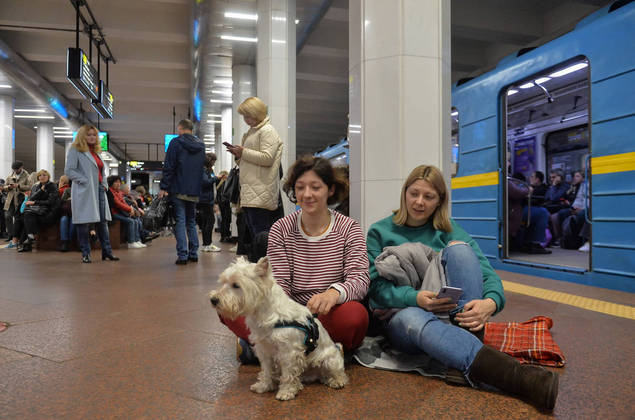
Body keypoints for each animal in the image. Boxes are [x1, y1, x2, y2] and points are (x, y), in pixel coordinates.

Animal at [209, 256, 348, 400]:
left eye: (236, 285)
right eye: (223, 282)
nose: (213, 300)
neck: (265, 314)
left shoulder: (288, 352)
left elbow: (288, 374)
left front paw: (286, 392)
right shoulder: (264, 350)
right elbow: (267, 370)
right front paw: (264, 386)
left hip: (330, 360)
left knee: (338, 373)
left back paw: (336, 381)